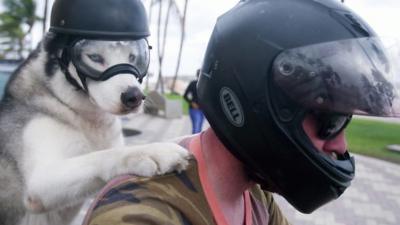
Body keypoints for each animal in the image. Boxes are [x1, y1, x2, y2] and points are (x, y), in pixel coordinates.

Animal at [0, 33, 190, 225]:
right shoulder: (38, 181)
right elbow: (103, 155)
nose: (134, 96)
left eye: (132, 57)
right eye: (94, 57)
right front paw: (152, 150)